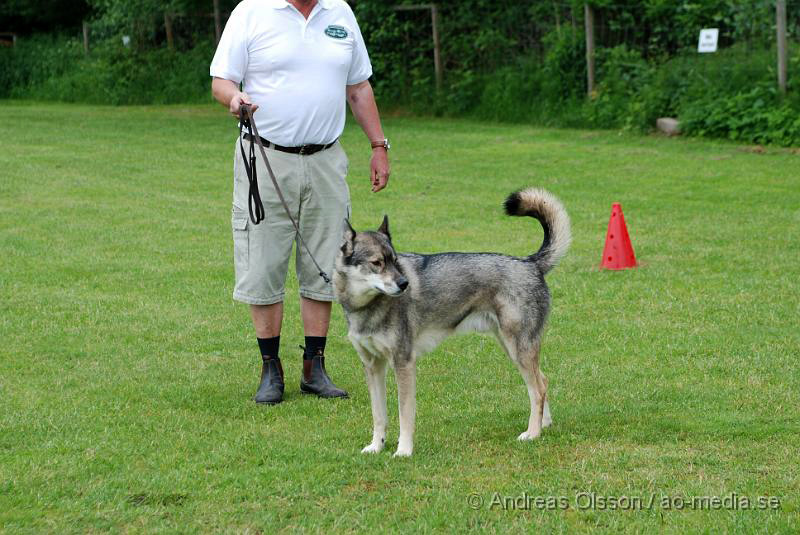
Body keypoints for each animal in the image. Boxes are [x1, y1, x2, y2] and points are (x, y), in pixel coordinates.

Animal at [332, 188, 568, 456]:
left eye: (394, 260)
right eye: (377, 263)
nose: (404, 284)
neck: (366, 307)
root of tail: (530, 263)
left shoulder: (403, 363)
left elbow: (405, 415)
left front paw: (403, 451)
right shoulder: (373, 366)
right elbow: (379, 415)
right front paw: (376, 446)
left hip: (519, 349)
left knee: (538, 389)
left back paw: (533, 433)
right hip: (513, 349)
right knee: (543, 381)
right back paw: (544, 425)